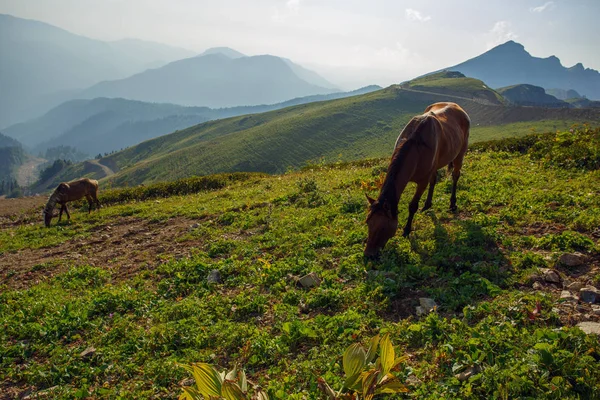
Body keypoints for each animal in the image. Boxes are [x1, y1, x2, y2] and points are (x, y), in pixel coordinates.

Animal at [364, 103, 472, 258]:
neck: (415, 145)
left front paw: (406, 230)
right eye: (368, 222)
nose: (368, 255)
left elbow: (412, 206)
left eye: (383, 227)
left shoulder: (422, 182)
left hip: (460, 154)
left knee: (455, 176)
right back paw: (427, 205)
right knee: (434, 180)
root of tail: (458, 107)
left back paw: (452, 204)